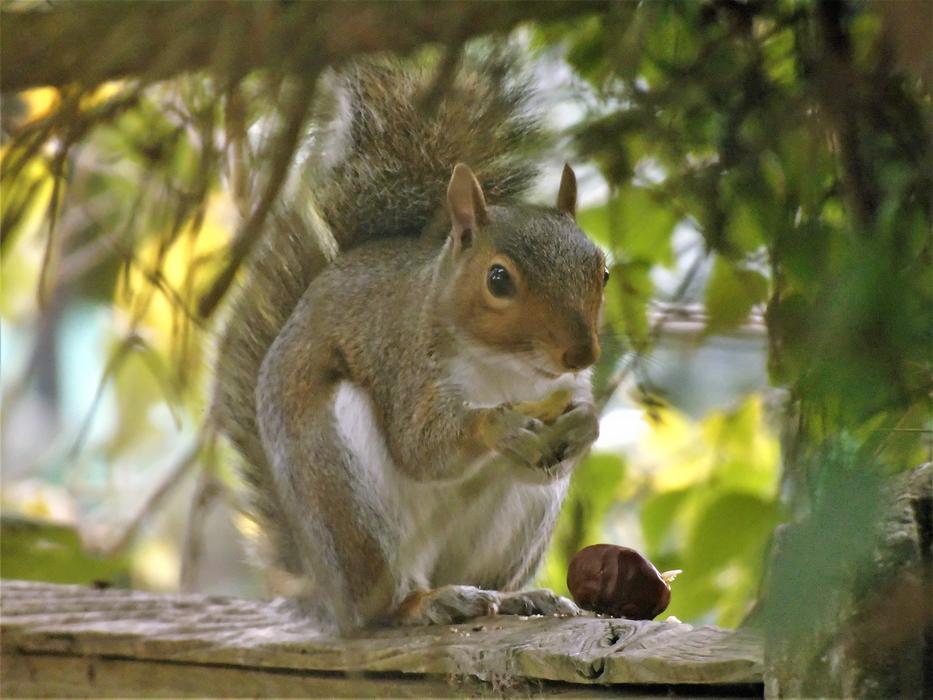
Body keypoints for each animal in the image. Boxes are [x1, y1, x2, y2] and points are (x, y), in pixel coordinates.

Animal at [214, 58, 607, 634]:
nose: (581, 355)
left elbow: (564, 438)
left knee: (487, 574)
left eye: (602, 270)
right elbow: (420, 446)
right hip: (347, 502)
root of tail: (327, 589)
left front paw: (586, 424)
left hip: (516, 527)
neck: (508, 369)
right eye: (498, 279)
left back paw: (514, 597)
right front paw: (496, 426)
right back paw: (424, 602)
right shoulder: (403, 360)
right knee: (384, 603)